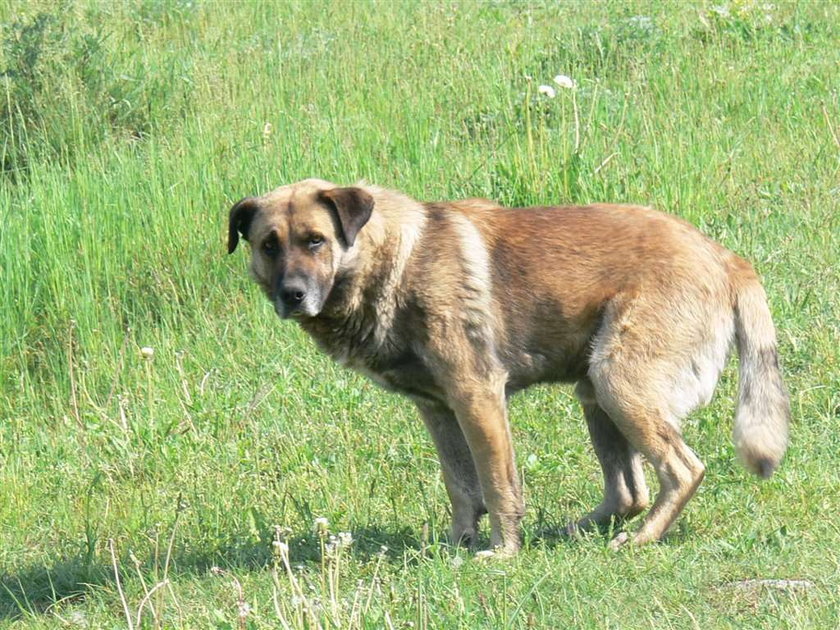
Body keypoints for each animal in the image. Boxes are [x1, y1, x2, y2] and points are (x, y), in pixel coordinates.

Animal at [228, 180, 788, 556]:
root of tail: (726, 258)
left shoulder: (477, 397)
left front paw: (502, 551)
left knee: (683, 469)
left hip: (619, 383)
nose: (291, 296)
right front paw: (457, 543)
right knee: (629, 490)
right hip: (595, 391)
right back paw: (574, 531)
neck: (393, 261)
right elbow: (460, 484)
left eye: (315, 240)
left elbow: (497, 485)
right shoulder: (437, 409)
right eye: (269, 245)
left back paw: (641, 539)